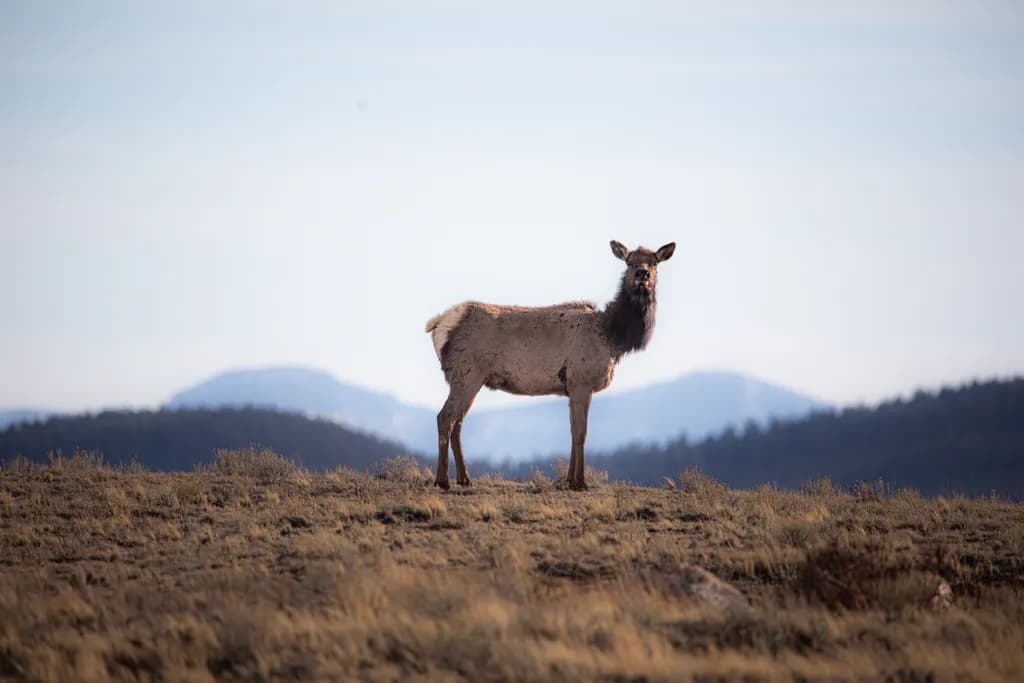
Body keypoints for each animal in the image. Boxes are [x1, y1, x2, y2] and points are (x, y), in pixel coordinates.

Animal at [425, 240, 676, 490]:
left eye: (654, 262)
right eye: (629, 261)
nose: (642, 274)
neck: (613, 337)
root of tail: (438, 324)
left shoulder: (571, 387)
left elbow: (573, 431)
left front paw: (570, 479)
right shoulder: (581, 381)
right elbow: (581, 432)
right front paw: (580, 482)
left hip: (470, 379)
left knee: (458, 422)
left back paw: (464, 478)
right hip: (466, 374)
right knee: (445, 417)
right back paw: (443, 480)